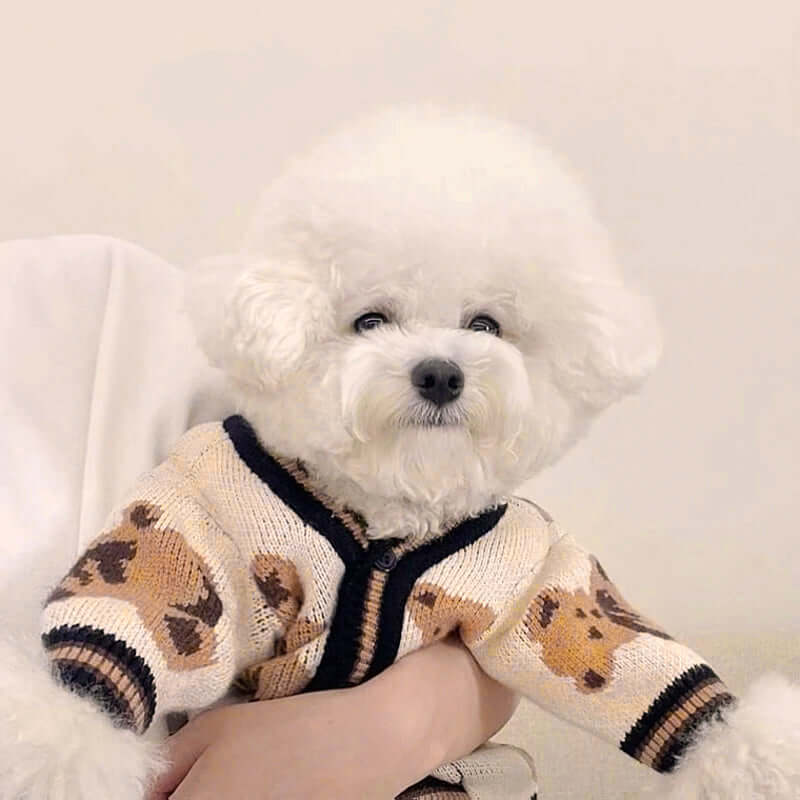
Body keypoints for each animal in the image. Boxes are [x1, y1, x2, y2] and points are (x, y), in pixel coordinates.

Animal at [1, 108, 800, 800]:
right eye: (370, 320)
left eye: (486, 324)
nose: (441, 373)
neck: (387, 510)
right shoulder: (211, 513)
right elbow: (142, 609)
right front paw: (51, 740)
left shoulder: (529, 571)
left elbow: (633, 662)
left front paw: (754, 753)